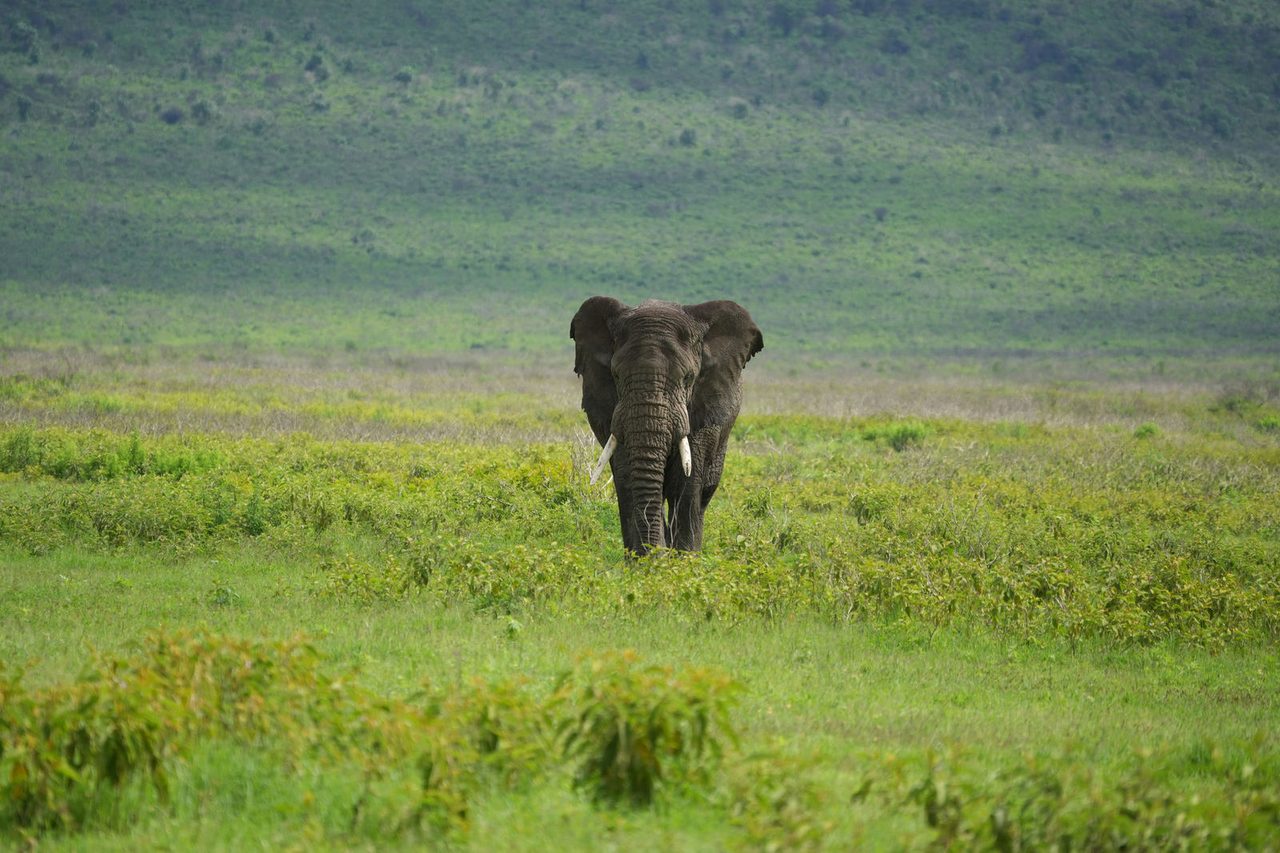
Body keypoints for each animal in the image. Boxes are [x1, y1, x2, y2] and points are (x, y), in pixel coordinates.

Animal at [570, 297, 763, 555]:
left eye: (688, 378)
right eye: (616, 376)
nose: (655, 554)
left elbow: (687, 482)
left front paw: (683, 562)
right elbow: (627, 476)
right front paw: (642, 561)